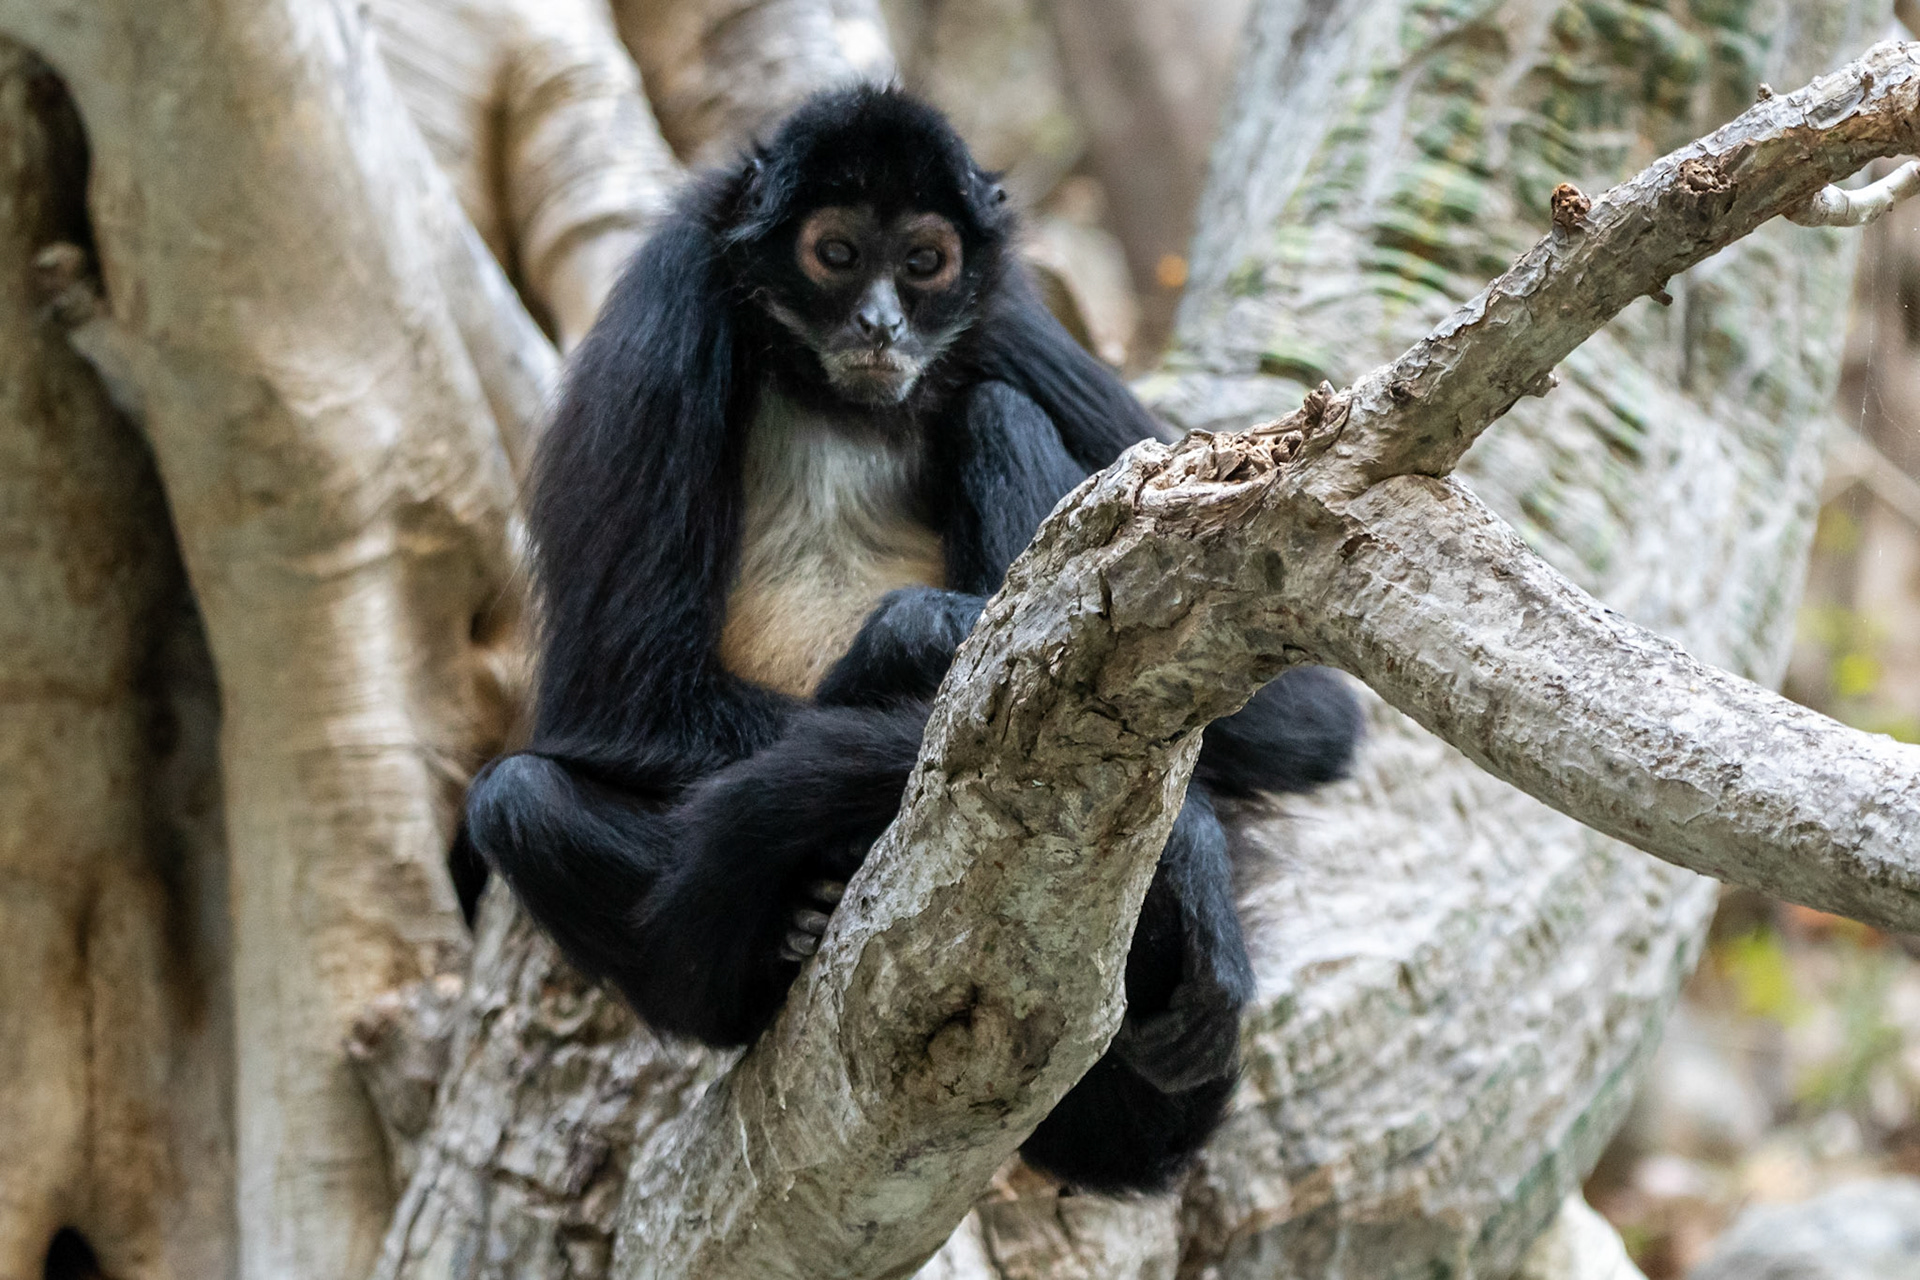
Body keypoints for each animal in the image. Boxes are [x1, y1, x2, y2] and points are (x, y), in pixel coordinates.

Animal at [462, 84, 1362, 1195]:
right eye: (837, 253)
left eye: (925, 261)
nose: (881, 320)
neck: (836, 397)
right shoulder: (667, 308)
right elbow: (616, 698)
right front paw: (1186, 840)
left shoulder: (1008, 319)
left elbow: (1310, 718)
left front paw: (917, 636)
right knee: (518, 800)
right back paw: (797, 928)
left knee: (994, 410)